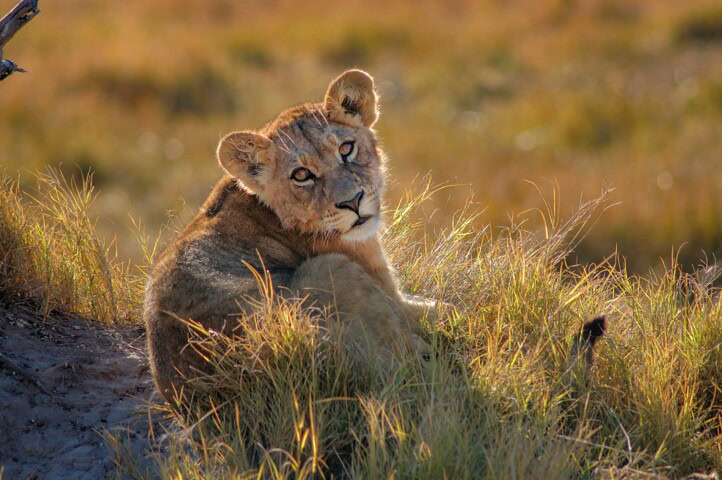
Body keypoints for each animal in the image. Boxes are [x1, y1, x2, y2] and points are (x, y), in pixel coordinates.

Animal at [144, 69, 437, 403]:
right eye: (301, 175)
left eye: (346, 149)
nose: (353, 201)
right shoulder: (392, 295)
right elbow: (445, 309)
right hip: (330, 268)